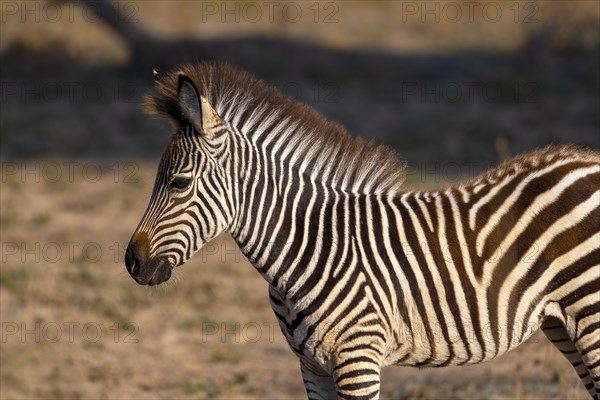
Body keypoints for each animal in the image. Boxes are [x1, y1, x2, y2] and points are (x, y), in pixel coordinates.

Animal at [124, 62, 596, 400]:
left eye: (178, 183)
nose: (132, 263)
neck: (309, 245)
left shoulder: (358, 358)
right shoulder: (312, 367)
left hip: (590, 313)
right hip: (563, 322)